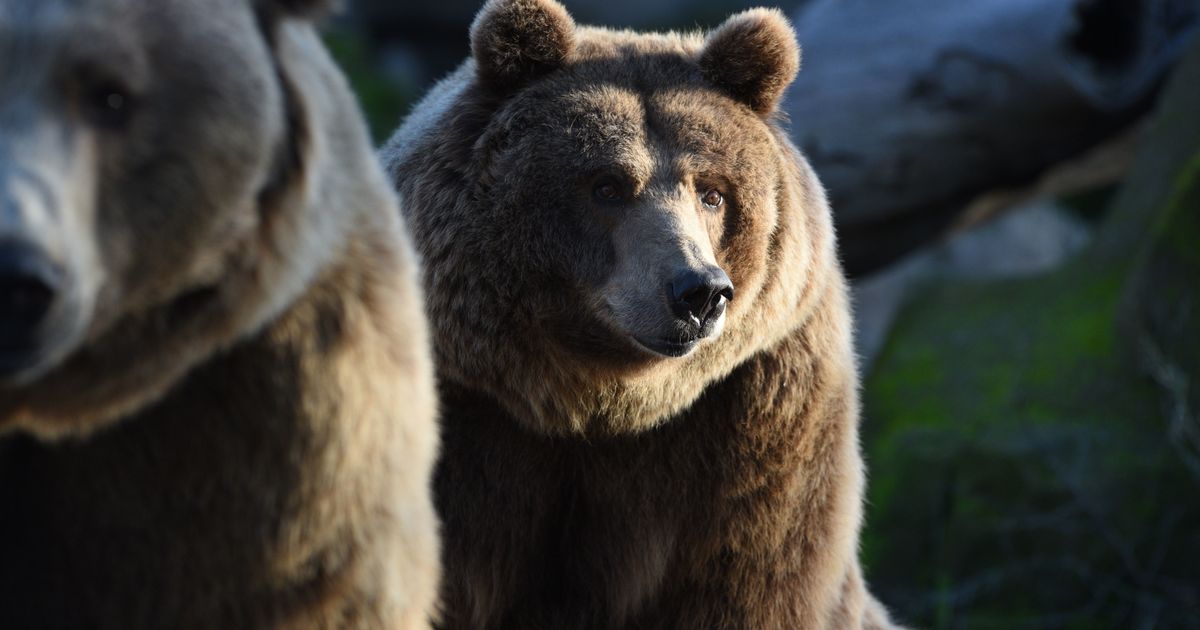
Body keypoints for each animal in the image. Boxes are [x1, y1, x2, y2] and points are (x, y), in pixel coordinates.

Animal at [384, 1, 902, 628]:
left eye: (712, 192)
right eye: (607, 185)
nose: (699, 291)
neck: (596, 401)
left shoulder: (761, 415)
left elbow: (754, 577)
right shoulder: (465, 415)